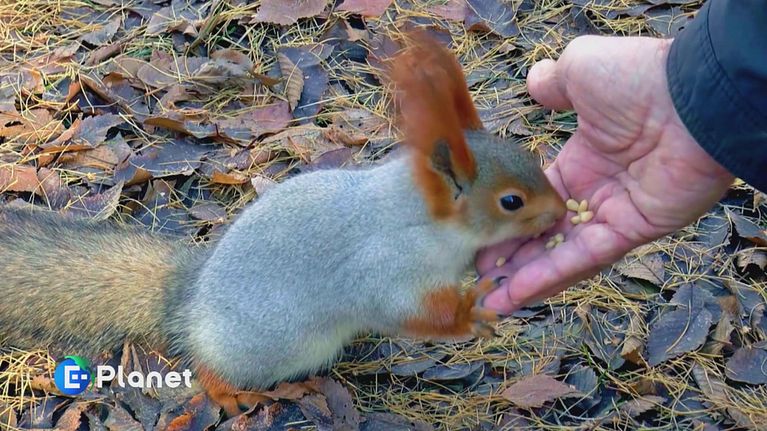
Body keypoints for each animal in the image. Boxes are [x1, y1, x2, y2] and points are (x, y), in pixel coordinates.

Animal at [0, 33, 566, 416]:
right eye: (511, 201)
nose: (562, 212)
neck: (419, 218)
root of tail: (187, 301)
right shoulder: (384, 268)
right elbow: (403, 310)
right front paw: (470, 312)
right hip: (268, 346)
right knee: (212, 370)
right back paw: (236, 392)